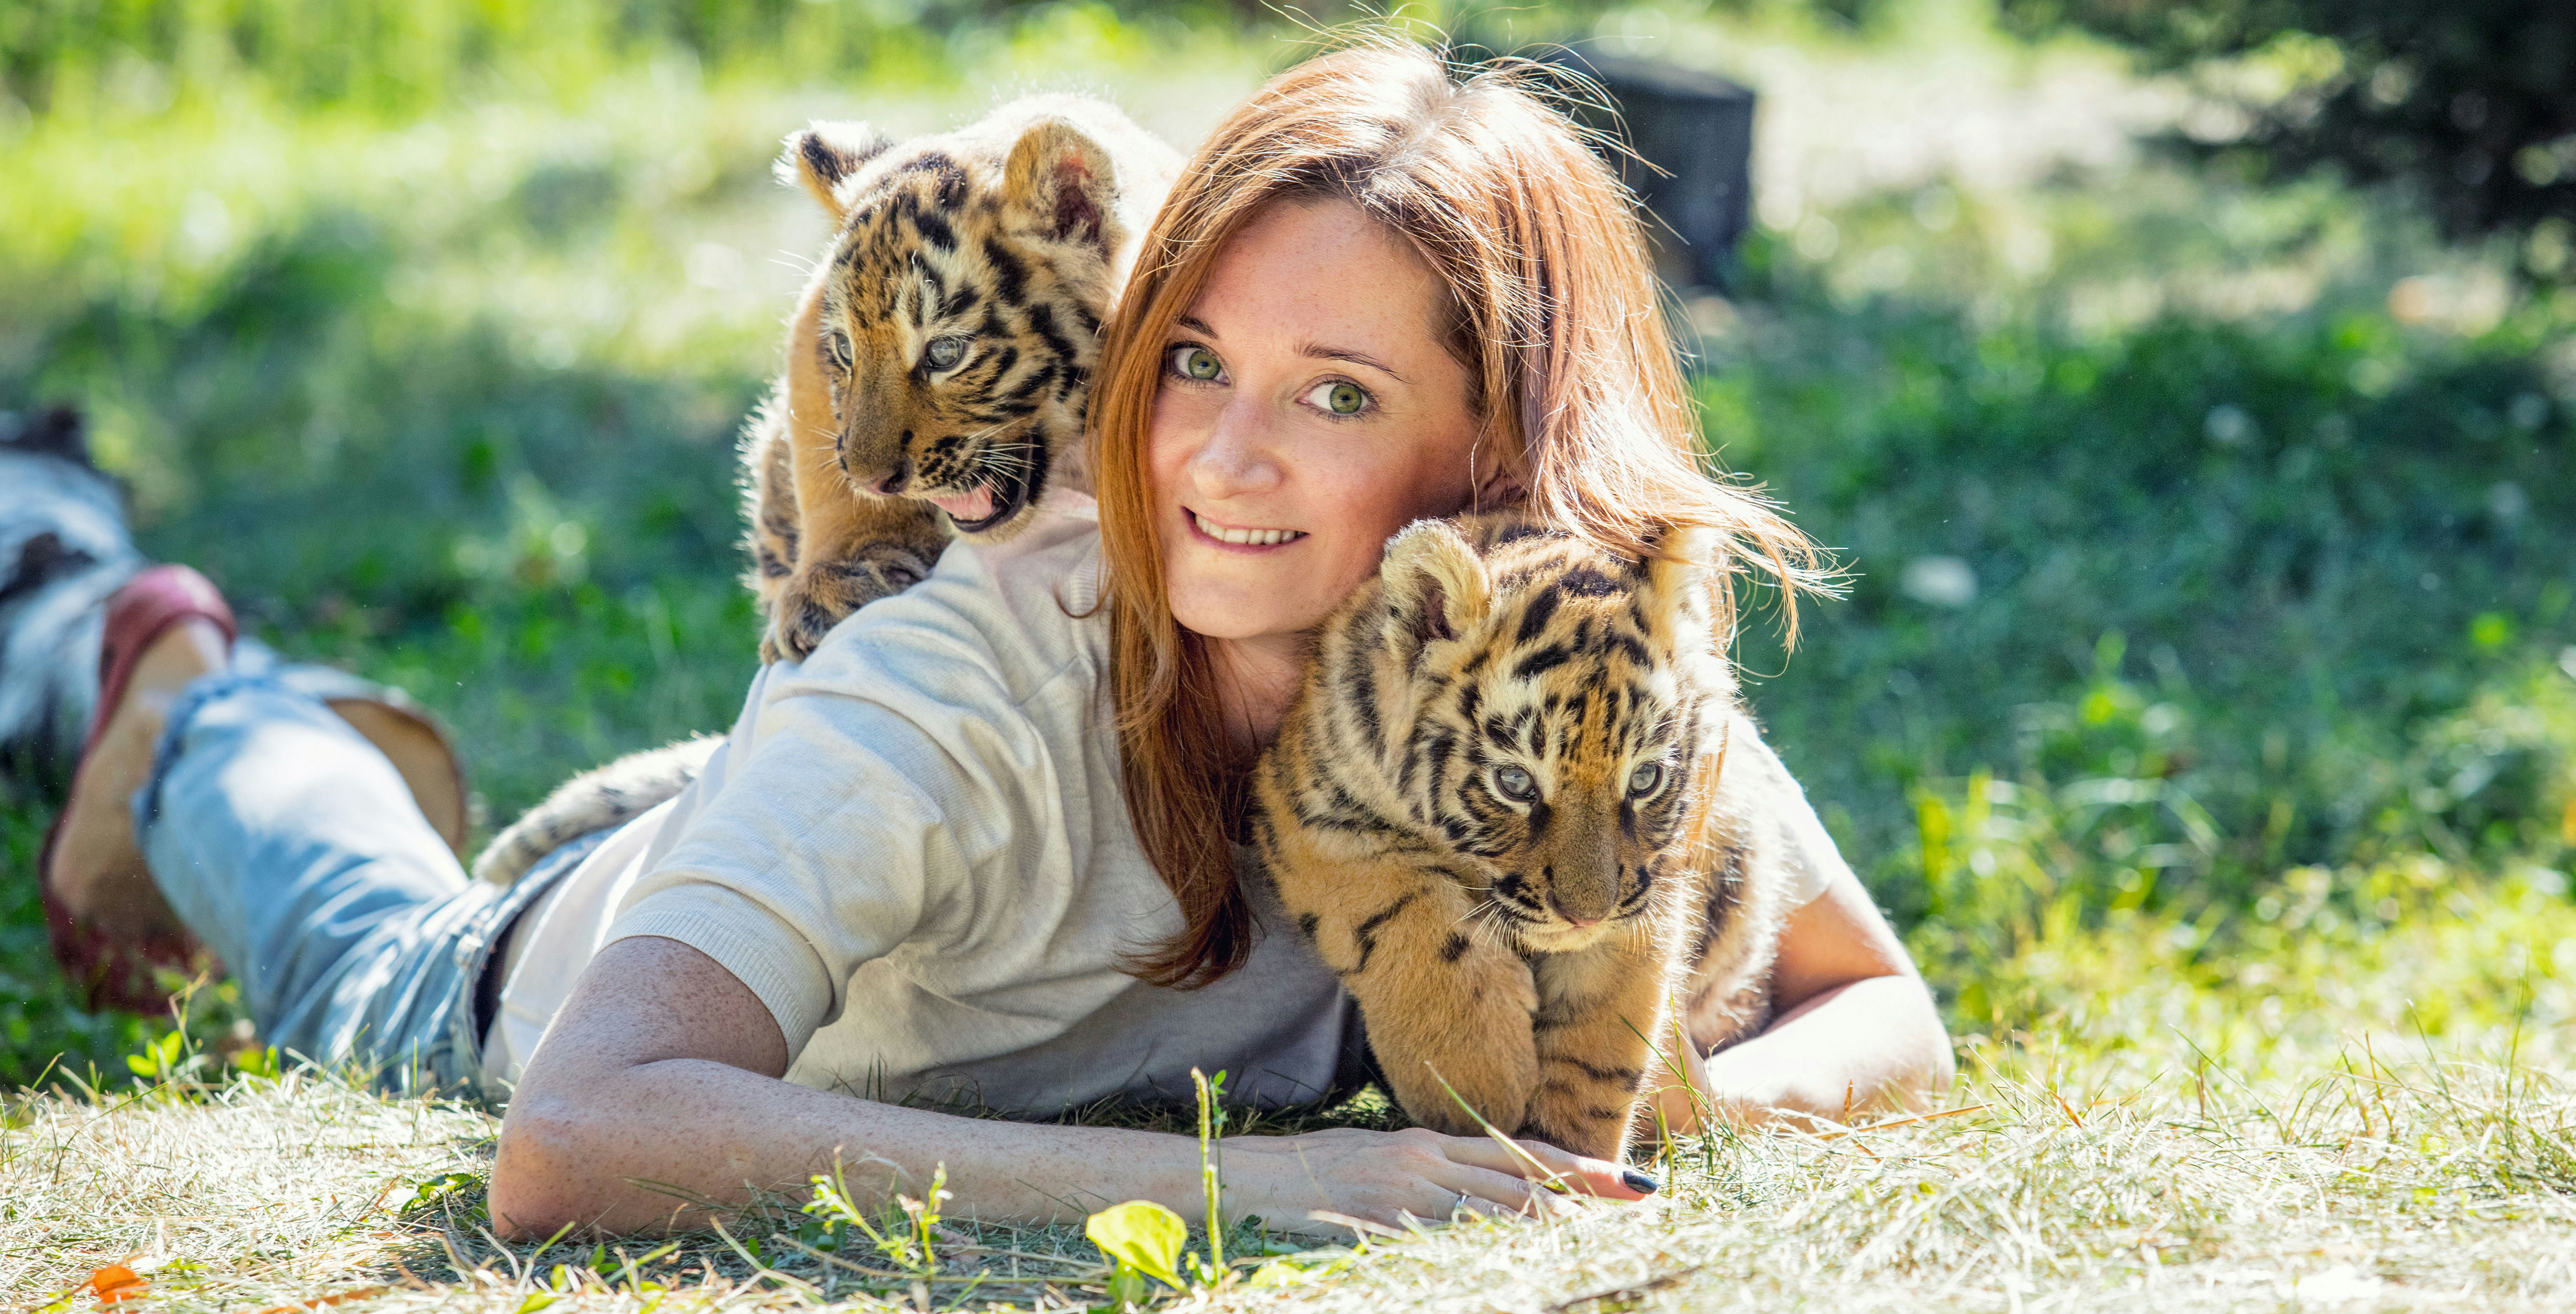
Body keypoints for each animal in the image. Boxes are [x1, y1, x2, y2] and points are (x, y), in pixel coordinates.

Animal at [468, 97, 1176, 886]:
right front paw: (836, 583)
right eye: (844, 350)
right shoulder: (810, 341)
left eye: (944, 352)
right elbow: (827, 474)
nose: (874, 474)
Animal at [1252, 511, 1797, 1160]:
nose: (1586, 915)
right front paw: (1477, 1084)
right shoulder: (1306, 809)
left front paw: (1566, 1154)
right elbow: (1400, 912)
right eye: (1514, 783)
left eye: (1644, 779)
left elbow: (1603, 1032)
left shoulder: (1651, 888)